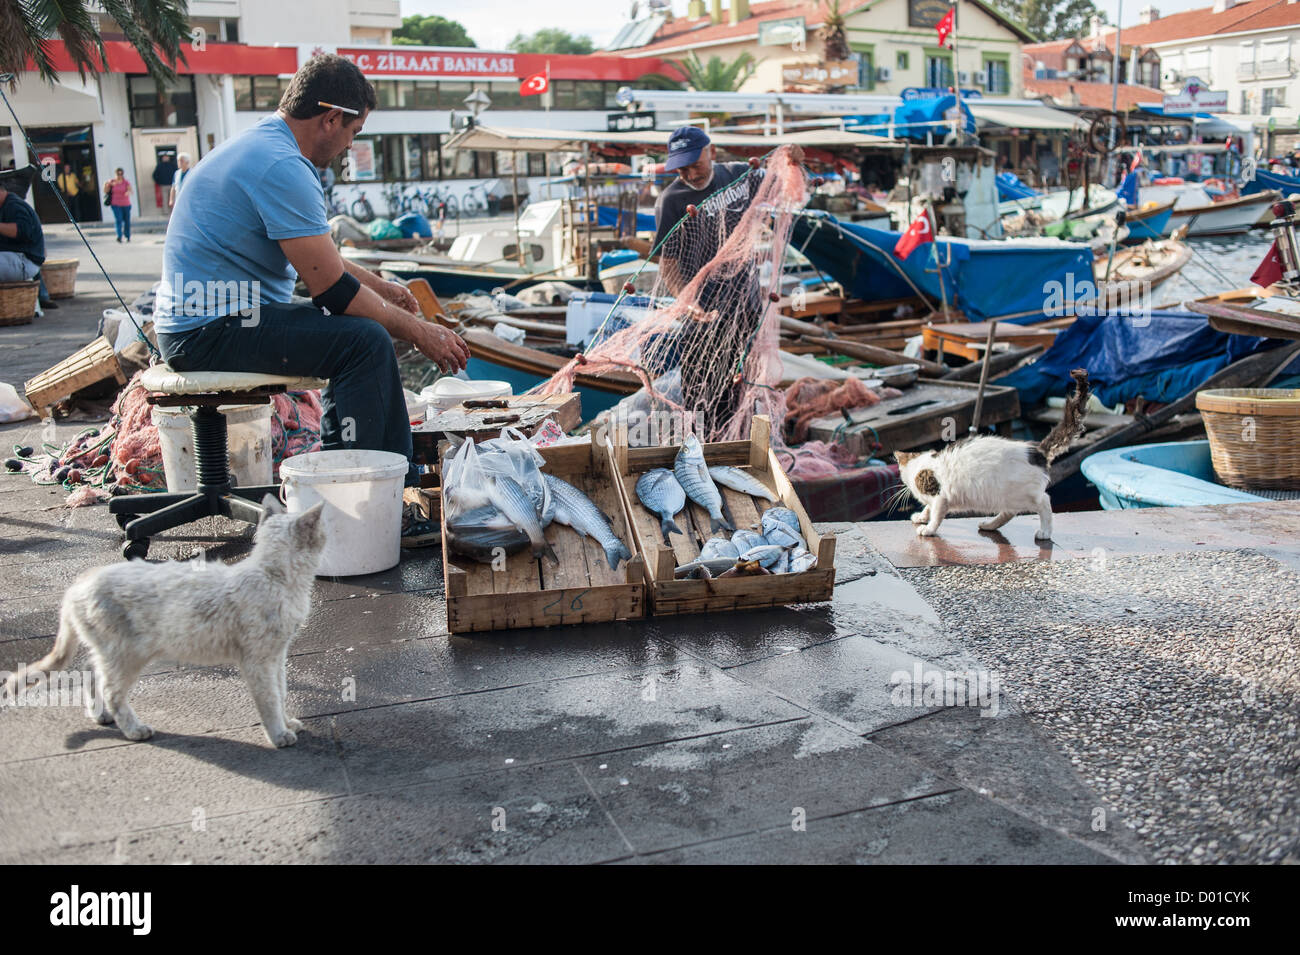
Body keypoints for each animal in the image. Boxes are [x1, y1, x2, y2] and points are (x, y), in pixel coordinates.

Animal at [4, 496, 327, 748]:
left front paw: (288, 723)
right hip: (128, 654)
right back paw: (134, 729)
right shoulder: (257, 662)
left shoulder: (277, 656)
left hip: (111, 651)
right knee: (112, 691)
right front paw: (279, 734)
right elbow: (269, 700)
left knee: (89, 670)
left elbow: (281, 692)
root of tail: (79, 582)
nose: (330, 536)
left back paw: (100, 715)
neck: (274, 577)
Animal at [894, 369, 1086, 540]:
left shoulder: (940, 497)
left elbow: (935, 515)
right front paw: (921, 517)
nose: (904, 486)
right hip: (1007, 497)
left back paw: (1045, 532)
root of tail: (1038, 450)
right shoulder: (936, 499)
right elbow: (928, 508)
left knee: (1044, 502)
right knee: (1009, 513)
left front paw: (928, 529)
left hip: (1023, 494)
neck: (922, 464)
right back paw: (989, 525)